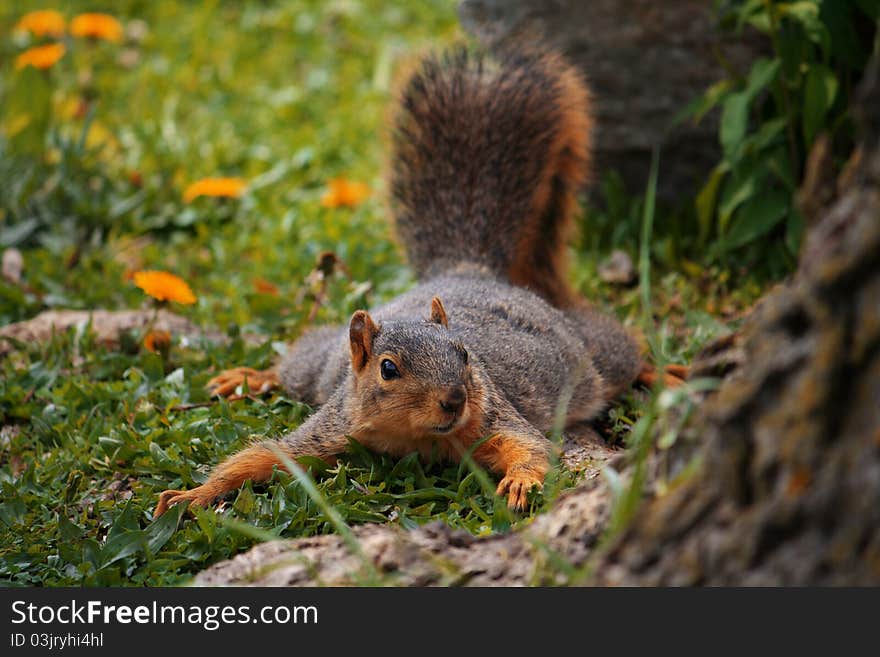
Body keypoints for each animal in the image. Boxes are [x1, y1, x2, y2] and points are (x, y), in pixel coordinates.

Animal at [155, 48, 672, 516]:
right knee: (298, 365)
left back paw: (664, 373)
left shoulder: (496, 416)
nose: (455, 400)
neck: (416, 437)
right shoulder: (333, 426)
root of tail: (464, 269)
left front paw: (522, 482)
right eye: (387, 369)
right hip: (320, 367)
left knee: (624, 354)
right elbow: (264, 454)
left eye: (465, 354)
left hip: (592, 353)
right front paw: (194, 494)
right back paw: (249, 377)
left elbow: (530, 446)